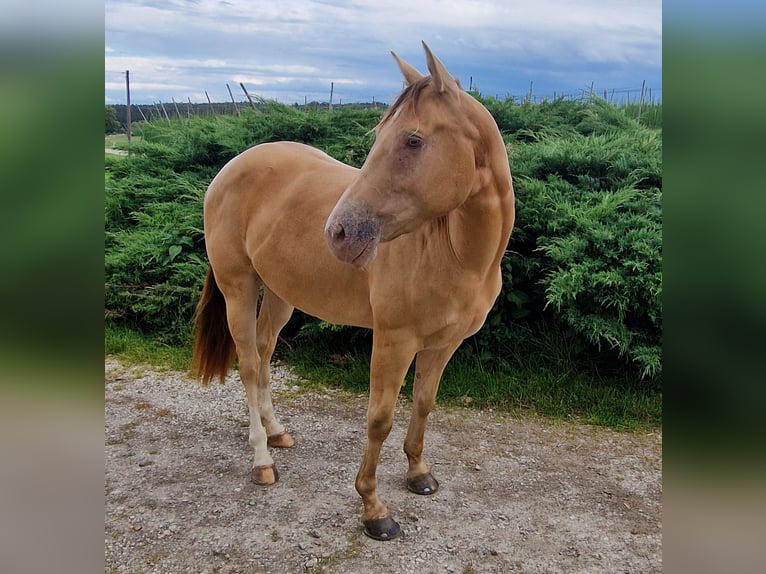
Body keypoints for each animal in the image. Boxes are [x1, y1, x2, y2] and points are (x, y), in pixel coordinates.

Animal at [192, 42, 516, 544]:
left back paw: (276, 430)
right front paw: (373, 509)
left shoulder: (443, 344)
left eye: (413, 140)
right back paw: (262, 457)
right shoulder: (394, 341)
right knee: (247, 362)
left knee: (263, 354)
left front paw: (418, 473)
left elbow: (424, 404)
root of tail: (231, 167)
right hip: (238, 288)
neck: (455, 253)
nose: (338, 233)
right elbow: (378, 420)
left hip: (281, 294)